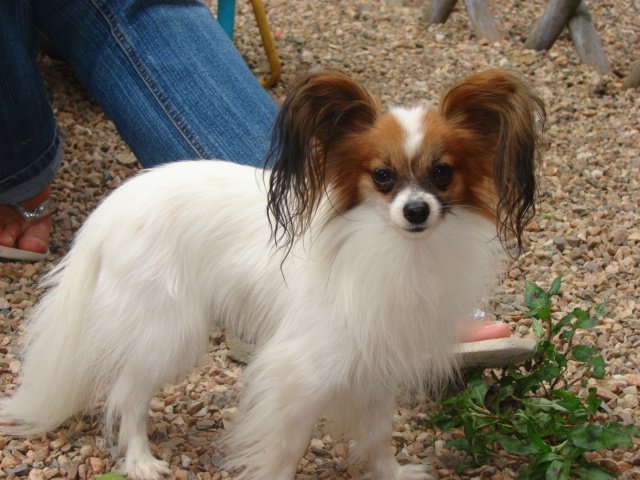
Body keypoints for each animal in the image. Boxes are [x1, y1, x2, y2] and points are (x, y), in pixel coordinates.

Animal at [0, 70, 544, 480]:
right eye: (382, 176)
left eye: (442, 173)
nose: (416, 211)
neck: (399, 252)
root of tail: (111, 208)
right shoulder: (300, 373)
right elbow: (284, 448)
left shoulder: (378, 362)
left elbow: (378, 433)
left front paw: (389, 473)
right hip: (168, 332)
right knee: (127, 396)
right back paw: (140, 461)